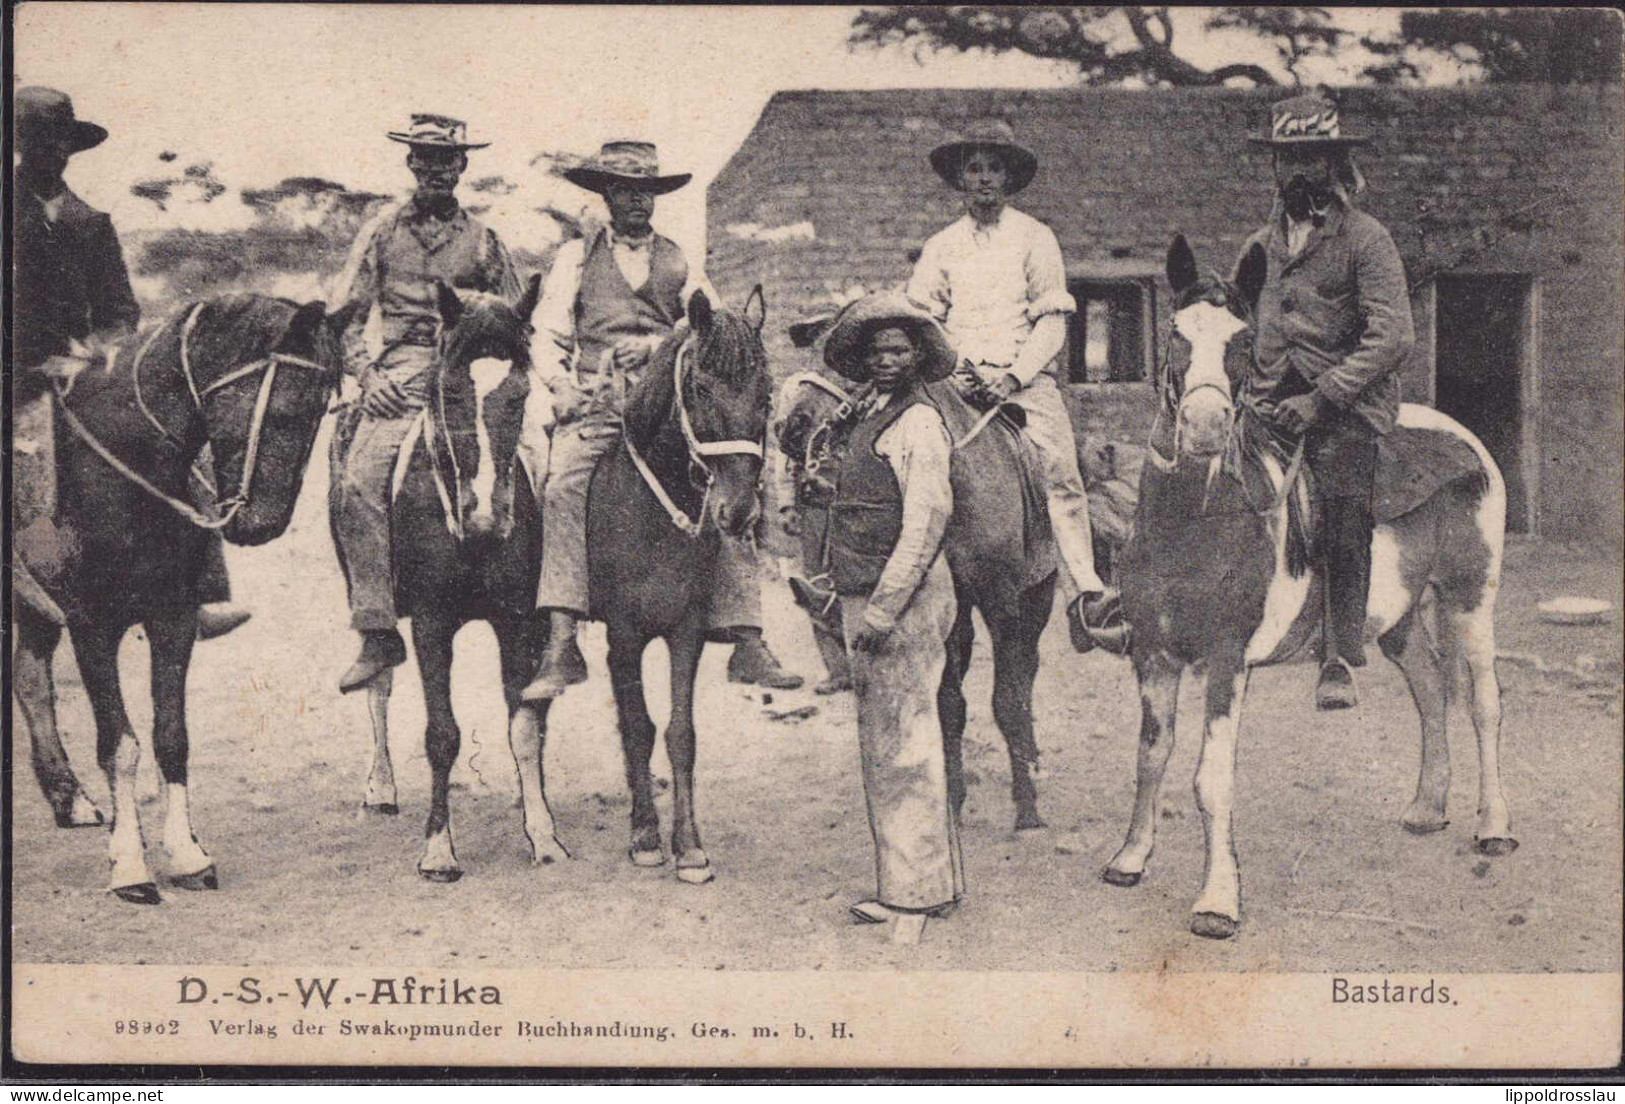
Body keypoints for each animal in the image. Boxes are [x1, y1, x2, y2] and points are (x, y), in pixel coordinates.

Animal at [12, 289, 349, 904]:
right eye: (286, 409)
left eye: (320, 411)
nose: (263, 525)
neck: (125, 468)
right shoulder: (91, 625)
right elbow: (118, 744)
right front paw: (130, 865)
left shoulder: (172, 616)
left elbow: (171, 736)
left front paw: (187, 854)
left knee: (29, 673)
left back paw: (68, 797)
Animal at [326, 276, 568, 877]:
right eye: (451, 392)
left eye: (519, 394)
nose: (485, 515)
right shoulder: (431, 623)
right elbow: (442, 734)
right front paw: (439, 848)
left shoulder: (516, 620)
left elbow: (524, 727)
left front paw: (542, 831)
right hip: (367, 594)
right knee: (379, 675)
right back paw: (381, 786)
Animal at [591, 289, 773, 884]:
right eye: (700, 389)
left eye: (766, 393)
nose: (738, 512)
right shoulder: (623, 636)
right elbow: (638, 726)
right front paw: (646, 835)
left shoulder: (685, 631)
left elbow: (679, 734)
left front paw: (689, 845)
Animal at [776, 370, 1066, 829]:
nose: (789, 426)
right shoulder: (945, 613)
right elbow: (950, 706)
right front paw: (953, 801)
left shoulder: (1002, 603)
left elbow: (1007, 699)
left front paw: (1027, 808)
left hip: (1037, 596)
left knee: (1027, 671)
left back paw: (1032, 756)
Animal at [1098, 235, 1514, 943]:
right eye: (1176, 333)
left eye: (1243, 340)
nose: (1204, 428)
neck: (1196, 520)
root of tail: (1467, 443)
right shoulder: (1152, 654)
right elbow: (1151, 756)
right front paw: (1130, 859)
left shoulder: (1226, 661)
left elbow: (1210, 779)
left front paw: (1217, 902)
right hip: (1397, 617)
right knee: (1431, 689)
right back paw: (1428, 807)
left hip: (1472, 598)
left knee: (1483, 705)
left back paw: (1493, 826)